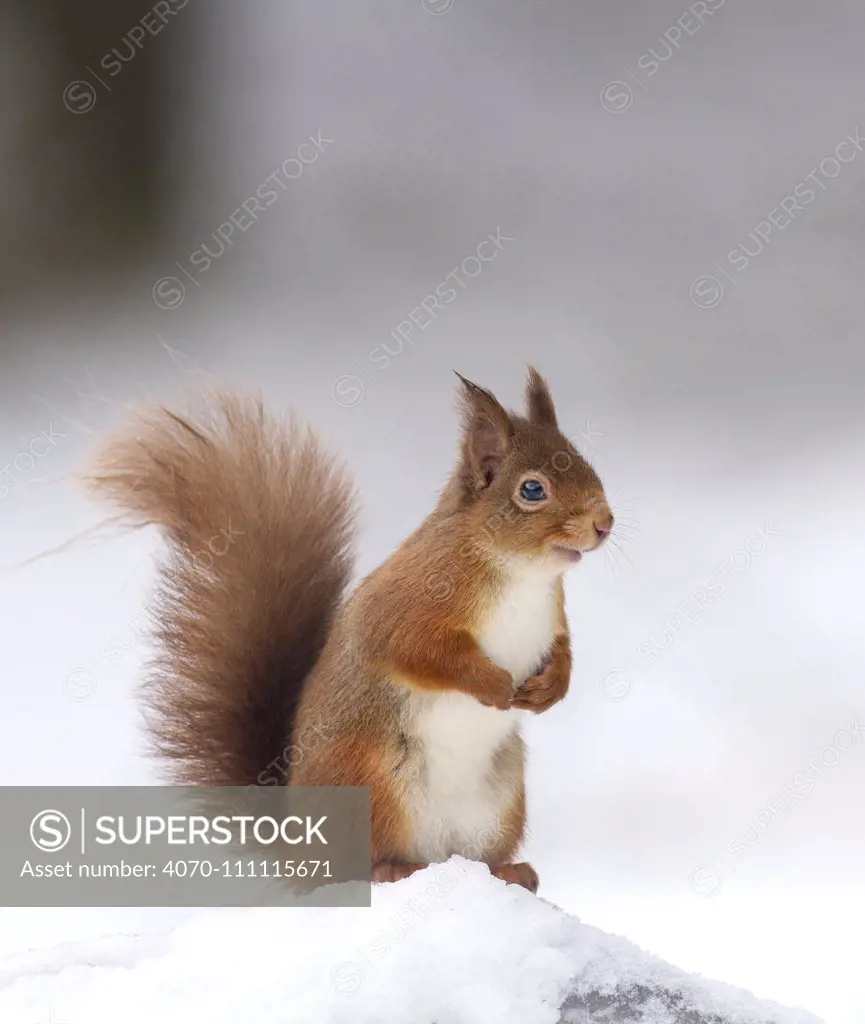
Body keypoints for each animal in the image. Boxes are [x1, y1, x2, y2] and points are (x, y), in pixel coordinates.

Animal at [85, 370, 614, 897]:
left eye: (588, 464)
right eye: (532, 490)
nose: (604, 523)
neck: (520, 574)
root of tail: (298, 849)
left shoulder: (552, 618)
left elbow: (563, 651)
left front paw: (551, 688)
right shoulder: (409, 606)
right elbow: (419, 652)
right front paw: (493, 684)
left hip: (500, 802)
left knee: (473, 857)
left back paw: (508, 872)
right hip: (370, 783)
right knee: (359, 865)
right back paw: (393, 870)